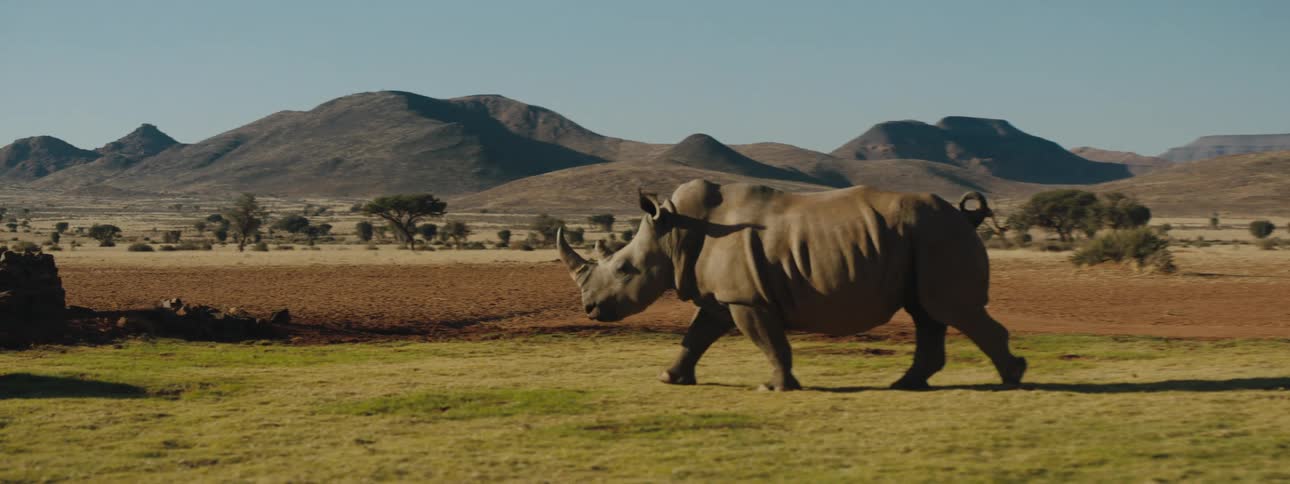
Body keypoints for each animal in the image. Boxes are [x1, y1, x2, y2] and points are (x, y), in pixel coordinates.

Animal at [557, 180, 1026, 391]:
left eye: (624, 270)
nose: (589, 309)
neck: (674, 231)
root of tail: (966, 216)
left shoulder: (747, 298)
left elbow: (769, 342)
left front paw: (776, 388)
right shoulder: (722, 298)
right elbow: (696, 336)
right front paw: (669, 378)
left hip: (937, 234)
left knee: (950, 309)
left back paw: (1012, 378)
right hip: (924, 237)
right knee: (928, 311)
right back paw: (907, 384)